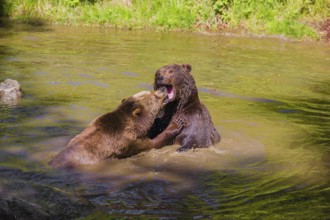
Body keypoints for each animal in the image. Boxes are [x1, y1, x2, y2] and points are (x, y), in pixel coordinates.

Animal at [49, 89, 183, 168]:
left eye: (151, 90)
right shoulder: (132, 140)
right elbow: (153, 143)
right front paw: (175, 125)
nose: (162, 89)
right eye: (154, 96)